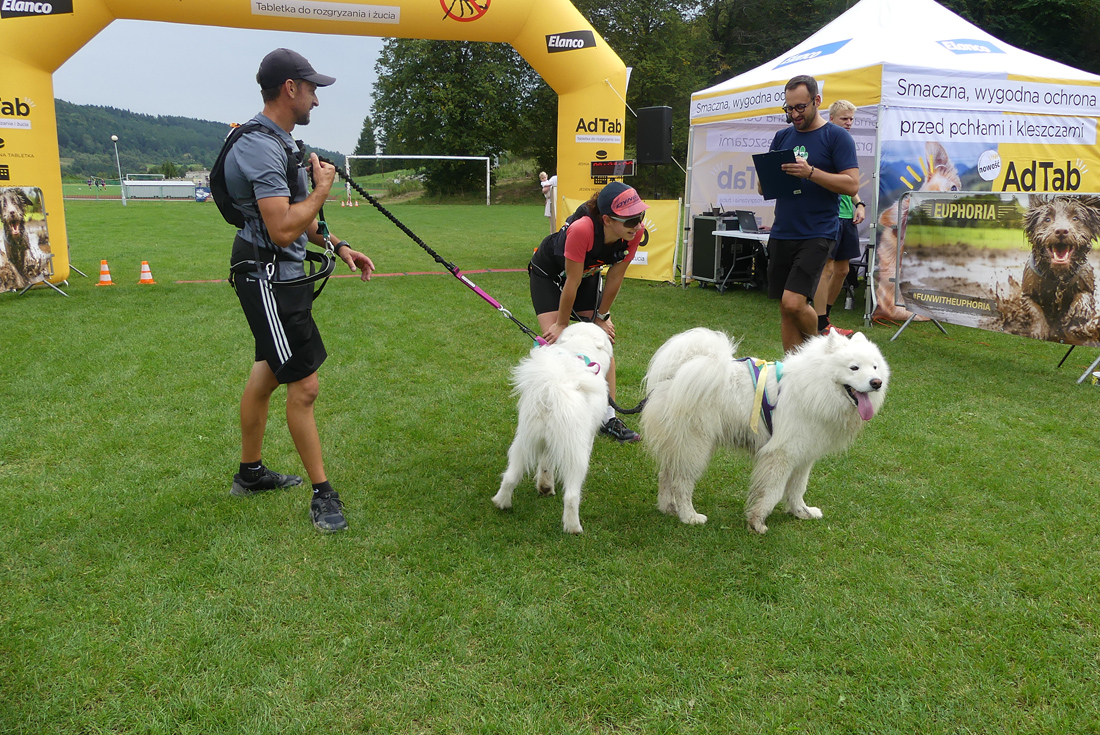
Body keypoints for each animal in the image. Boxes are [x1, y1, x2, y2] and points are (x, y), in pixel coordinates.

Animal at [492, 321, 614, 534]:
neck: (581, 349)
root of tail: (553, 389)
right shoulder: (587, 439)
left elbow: (545, 466)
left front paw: (545, 488)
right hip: (576, 455)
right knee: (572, 496)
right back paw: (574, 528)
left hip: (523, 442)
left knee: (510, 477)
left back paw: (502, 503)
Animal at [640, 327, 889, 534]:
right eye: (854, 368)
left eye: (875, 367)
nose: (876, 382)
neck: (815, 386)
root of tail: (676, 372)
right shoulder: (781, 454)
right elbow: (773, 492)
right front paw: (757, 521)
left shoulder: (804, 455)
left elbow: (798, 489)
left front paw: (802, 512)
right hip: (695, 446)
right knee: (681, 482)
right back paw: (689, 516)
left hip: (681, 444)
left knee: (666, 474)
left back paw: (667, 508)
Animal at [1016, 194, 1100, 341]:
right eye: (1047, 219)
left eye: (1075, 218)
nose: (1061, 231)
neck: (1058, 275)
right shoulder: (1027, 292)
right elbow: (1034, 308)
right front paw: (1040, 330)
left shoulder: (1085, 281)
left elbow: (1084, 296)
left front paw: (1077, 313)